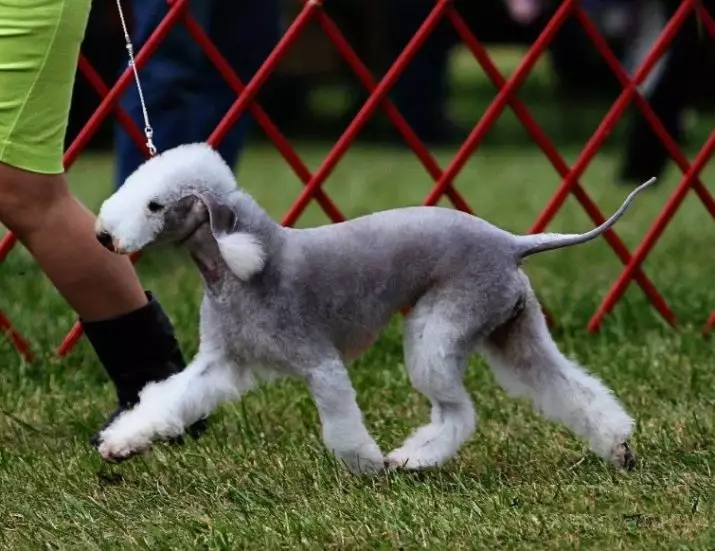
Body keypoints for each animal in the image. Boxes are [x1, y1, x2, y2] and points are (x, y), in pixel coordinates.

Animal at [92, 144, 652, 476]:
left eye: (155, 206)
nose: (103, 237)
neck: (241, 268)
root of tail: (511, 242)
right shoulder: (219, 362)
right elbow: (168, 399)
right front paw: (122, 443)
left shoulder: (318, 361)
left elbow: (341, 422)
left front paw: (365, 466)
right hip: (512, 328)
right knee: (565, 385)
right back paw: (618, 446)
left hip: (441, 326)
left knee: (459, 412)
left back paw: (411, 458)